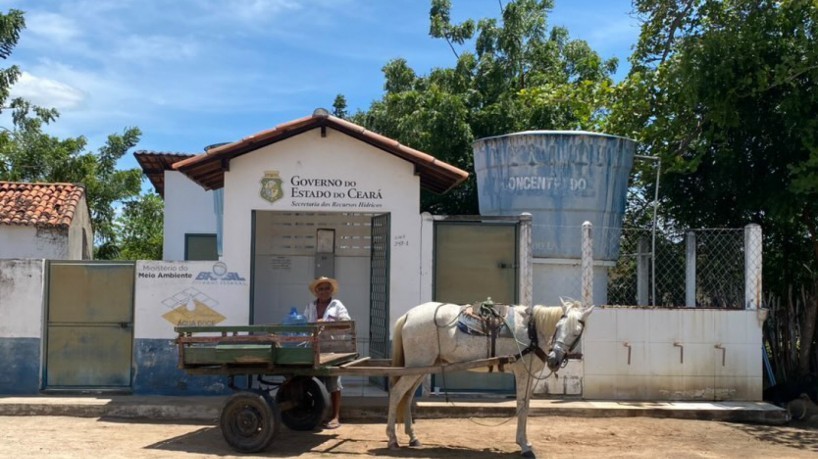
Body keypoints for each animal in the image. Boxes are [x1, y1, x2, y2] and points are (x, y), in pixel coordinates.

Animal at [386, 300, 588, 458]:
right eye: (558, 327)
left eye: (577, 332)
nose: (554, 360)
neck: (533, 330)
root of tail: (408, 315)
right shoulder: (522, 372)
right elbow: (522, 407)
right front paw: (524, 446)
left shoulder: (529, 375)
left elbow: (526, 406)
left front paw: (525, 443)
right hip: (416, 367)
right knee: (396, 393)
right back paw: (392, 439)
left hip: (422, 368)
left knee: (407, 396)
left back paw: (413, 437)